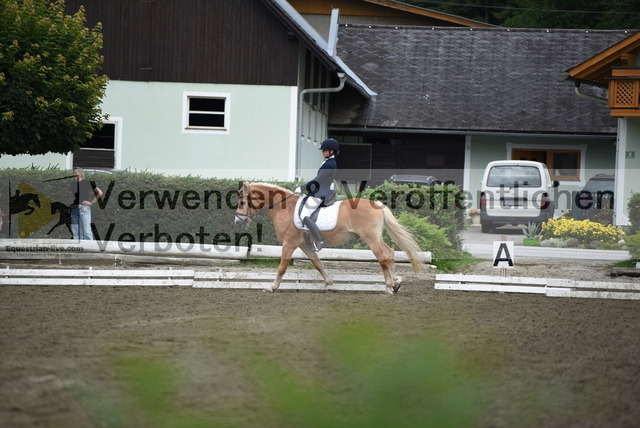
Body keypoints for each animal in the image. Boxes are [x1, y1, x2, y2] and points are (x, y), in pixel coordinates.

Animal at [232, 181, 422, 294]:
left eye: (242, 202)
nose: (237, 222)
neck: (283, 207)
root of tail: (377, 203)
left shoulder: (289, 244)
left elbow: (282, 268)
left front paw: (272, 286)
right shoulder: (304, 245)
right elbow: (317, 263)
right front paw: (330, 283)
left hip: (370, 238)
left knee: (383, 256)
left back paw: (390, 285)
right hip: (375, 238)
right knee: (389, 253)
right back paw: (395, 283)